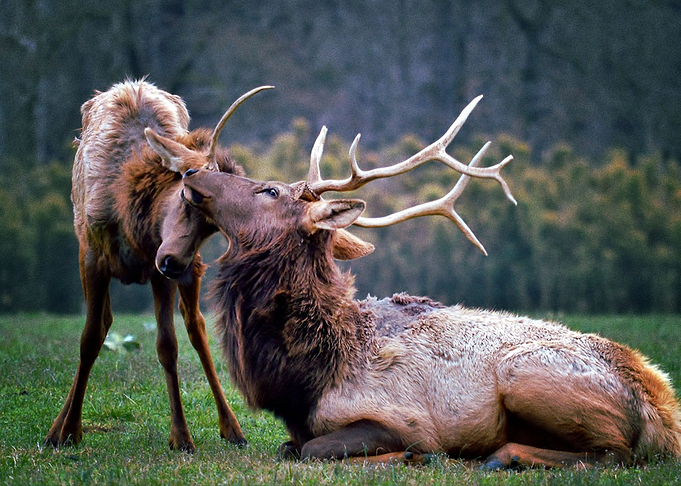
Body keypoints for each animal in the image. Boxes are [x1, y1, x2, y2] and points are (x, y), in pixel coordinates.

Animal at [45, 79, 272, 452]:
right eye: (188, 194)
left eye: (214, 226)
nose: (172, 262)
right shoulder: (93, 256)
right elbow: (89, 338)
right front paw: (69, 430)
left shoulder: (160, 273)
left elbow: (168, 346)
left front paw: (180, 435)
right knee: (105, 322)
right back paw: (55, 428)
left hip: (188, 271)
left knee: (196, 326)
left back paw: (232, 426)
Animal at [163, 95, 681, 468]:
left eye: (268, 190)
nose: (193, 174)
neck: (303, 377)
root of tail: (663, 411)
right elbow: (289, 446)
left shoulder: (402, 417)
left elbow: (311, 450)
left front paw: (413, 456)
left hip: (526, 374)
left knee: (617, 453)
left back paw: (501, 456)